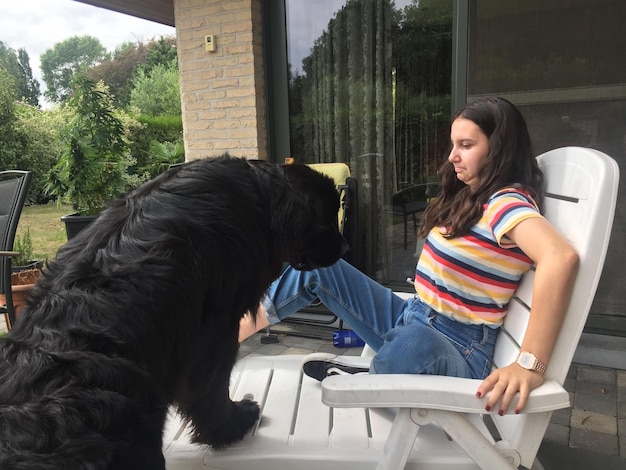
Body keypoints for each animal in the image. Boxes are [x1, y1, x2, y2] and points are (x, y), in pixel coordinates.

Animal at [0, 155, 346, 470]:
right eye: (328, 219)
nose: (344, 249)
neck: (260, 198)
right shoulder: (215, 333)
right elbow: (213, 390)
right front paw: (234, 423)